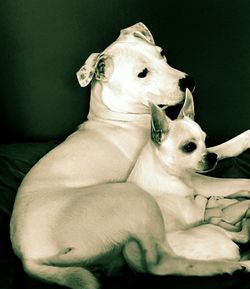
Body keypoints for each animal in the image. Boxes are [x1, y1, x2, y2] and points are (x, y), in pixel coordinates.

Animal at [9, 23, 250, 288]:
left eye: (162, 54)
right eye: (142, 73)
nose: (189, 81)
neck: (121, 116)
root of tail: (28, 259)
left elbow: (220, 149)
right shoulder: (194, 174)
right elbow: (230, 167)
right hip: (134, 197)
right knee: (159, 262)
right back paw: (226, 265)